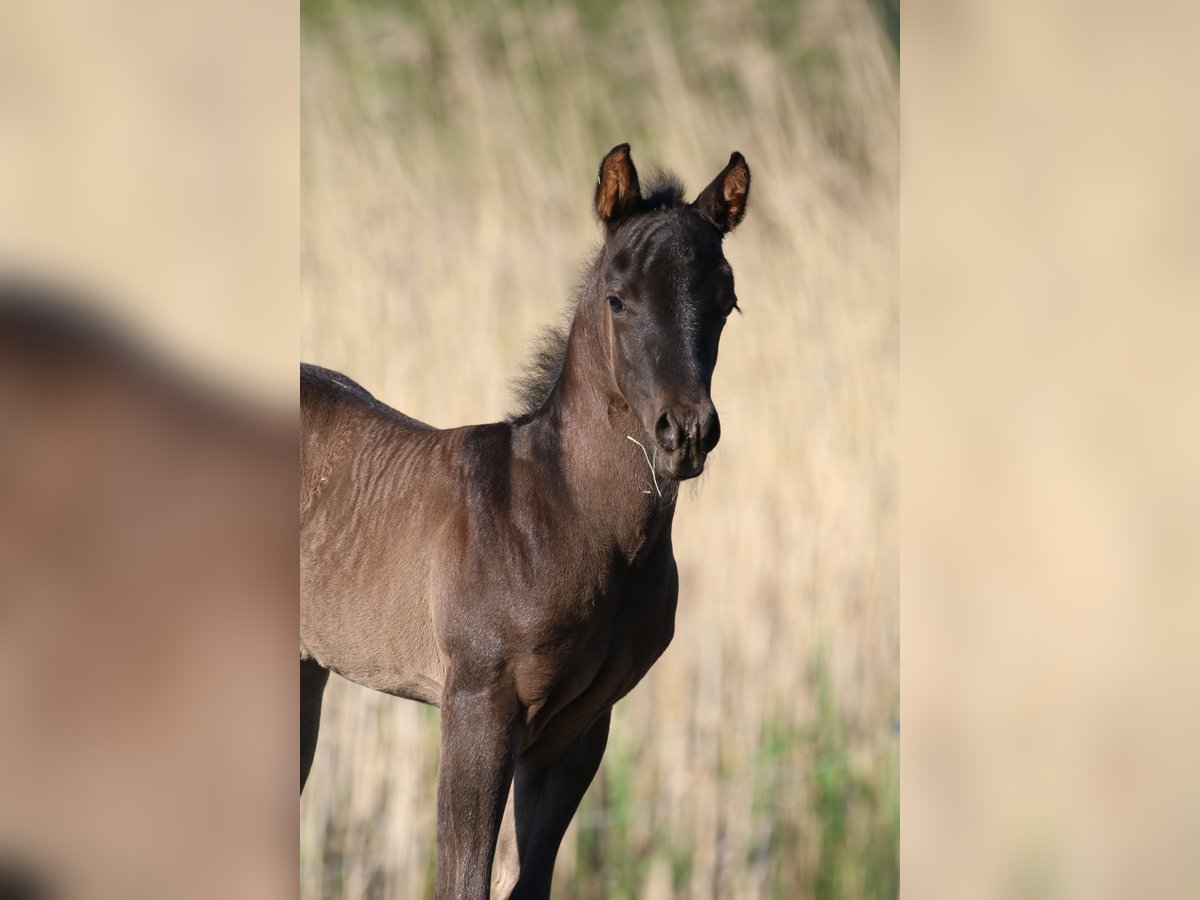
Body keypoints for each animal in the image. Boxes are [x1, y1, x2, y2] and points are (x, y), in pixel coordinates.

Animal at [300, 144, 748, 897]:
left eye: (727, 300)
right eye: (617, 298)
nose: (685, 433)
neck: (560, 511)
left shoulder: (578, 730)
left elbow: (527, 879)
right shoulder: (477, 707)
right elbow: (463, 878)